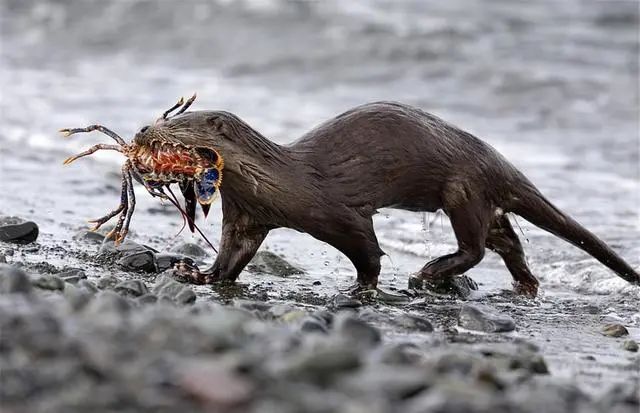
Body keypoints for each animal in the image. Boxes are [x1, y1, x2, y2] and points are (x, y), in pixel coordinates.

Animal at [132, 102, 636, 296]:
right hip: (481, 199)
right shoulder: (247, 217)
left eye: (174, 123)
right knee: (506, 240)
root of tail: (494, 159)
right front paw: (197, 274)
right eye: (161, 117)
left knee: (474, 246)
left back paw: (429, 272)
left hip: (462, 188)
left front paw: (362, 287)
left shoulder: (337, 214)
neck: (277, 181)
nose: (141, 130)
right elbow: (231, 258)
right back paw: (525, 285)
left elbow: (367, 251)